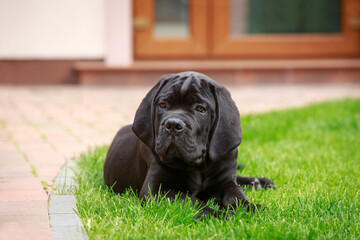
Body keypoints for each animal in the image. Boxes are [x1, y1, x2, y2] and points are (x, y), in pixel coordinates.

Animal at [103, 71, 272, 219]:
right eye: (163, 105)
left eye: (200, 109)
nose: (173, 125)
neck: (197, 166)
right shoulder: (155, 189)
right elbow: (188, 199)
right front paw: (216, 214)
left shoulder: (226, 181)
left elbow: (236, 195)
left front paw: (251, 209)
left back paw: (258, 182)